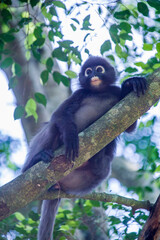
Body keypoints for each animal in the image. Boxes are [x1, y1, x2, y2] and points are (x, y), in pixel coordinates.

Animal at [21, 55, 147, 239]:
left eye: (99, 69)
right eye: (88, 71)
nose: (93, 74)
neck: (99, 92)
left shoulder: (119, 99)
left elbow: (129, 126)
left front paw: (131, 83)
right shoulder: (79, 94)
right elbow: (58, 115)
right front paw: (71, 137)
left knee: (102, 170)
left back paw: (99, 158)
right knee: (52, 126)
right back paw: (34, 161)